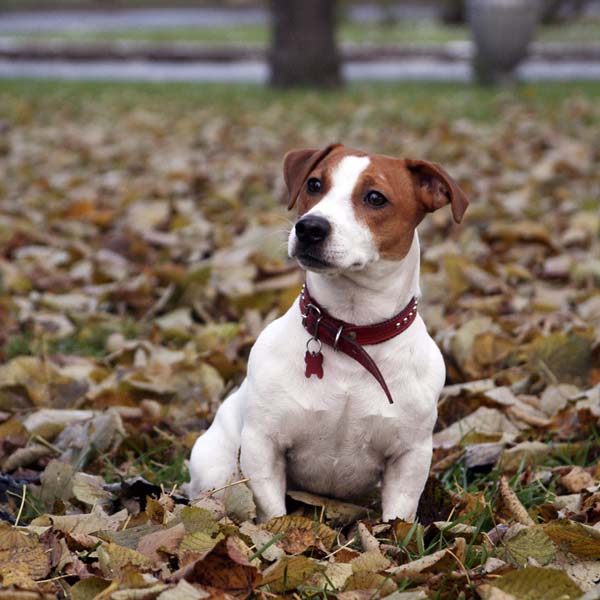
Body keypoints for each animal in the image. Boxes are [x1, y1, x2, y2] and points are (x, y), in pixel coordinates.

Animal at [190, 144, 472, 520]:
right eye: (314, 184)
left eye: (375, 197)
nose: (310, 227)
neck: (350, 333)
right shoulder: (263, 443)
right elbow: (271, 510)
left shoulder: (410, 456)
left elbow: (397, 515)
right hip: (214, 465)